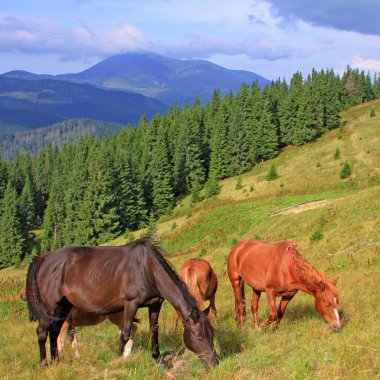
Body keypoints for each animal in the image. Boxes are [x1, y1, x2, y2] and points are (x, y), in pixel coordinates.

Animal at [25, 240, 218, 368]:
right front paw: (119, 361)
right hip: (51, 306)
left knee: (54, 330)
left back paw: (56, 361)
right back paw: (44, 364)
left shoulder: (155, 304)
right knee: (42, 332)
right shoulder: (131, 304)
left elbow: (154, 330)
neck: (148, 269)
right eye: (199, 336)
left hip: (62, 307)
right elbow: (125, 334)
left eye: (212, 334)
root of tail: (44, 258)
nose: (215, 362)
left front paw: (159, 360)